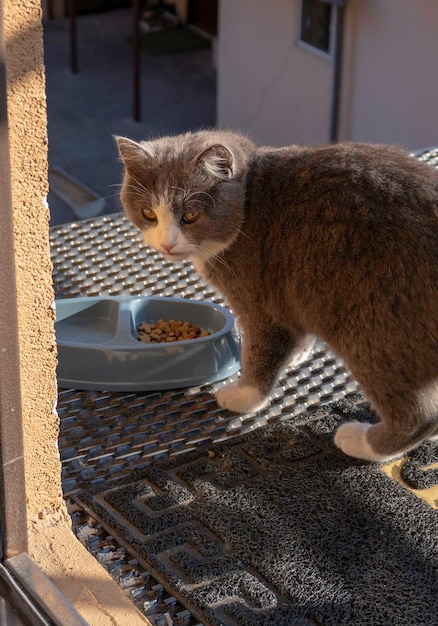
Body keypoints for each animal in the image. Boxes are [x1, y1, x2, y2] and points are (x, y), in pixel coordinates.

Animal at [116, 129, 438, 460]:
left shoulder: (262, 303)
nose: (167, 244)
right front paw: (296, 354)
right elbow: (295, 334)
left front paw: (243, 396)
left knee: (419, 415)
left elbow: (260, 353)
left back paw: (360, 441)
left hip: (374, 328)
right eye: (148, 213)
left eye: (191, 215)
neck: (248, 202)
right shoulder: (295, 294)